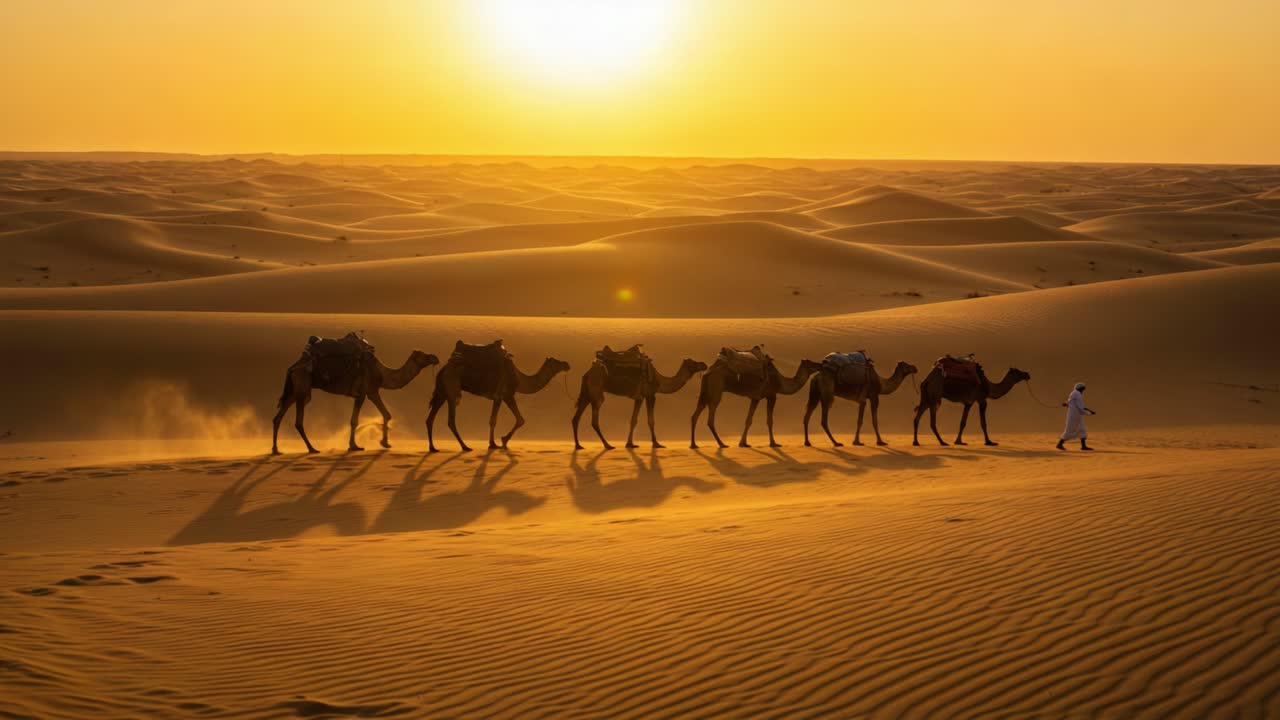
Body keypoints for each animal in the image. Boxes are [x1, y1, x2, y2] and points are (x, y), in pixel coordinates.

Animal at [272, 337, 438, 455]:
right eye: (423, 355)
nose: (435, 357)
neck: (382, 373)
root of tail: (293, 367)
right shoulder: (366, 392)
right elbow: (358, 420)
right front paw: (360, 445)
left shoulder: (367, 393)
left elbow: (382, 415)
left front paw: (377, 443)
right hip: (302, 388)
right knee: (298, 421)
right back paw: (312, 449)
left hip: (293, 391)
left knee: (278, 417)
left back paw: (276, 450)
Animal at [427, 341, 570, 452]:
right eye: (555, 362)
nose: (566, 364)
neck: (519, 379)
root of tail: (443, 370)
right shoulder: (506, 395)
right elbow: (517, 420)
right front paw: (501, 441)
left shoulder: (498, 397)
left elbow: (494, 420)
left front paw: (494, 443)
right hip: (452, 390)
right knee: (451, 420)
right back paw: (465, 447)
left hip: (441, 393)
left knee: (430, 418)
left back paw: (433, 448)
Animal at [572, 350, 707, 450]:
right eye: (693, 363)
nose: (704, 364)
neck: (659, 381)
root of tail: (587, 373)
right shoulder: (650, 395)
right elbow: (651, 420)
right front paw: (656, 443)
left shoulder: (639, 398)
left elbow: (633, 420)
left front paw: (630, 444)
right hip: (596, 392)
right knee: (594, 420)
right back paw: (608, 445)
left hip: (587, 393)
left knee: (576, 418)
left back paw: (579, 445)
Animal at [690, 352, 823, 449]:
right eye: (811, 363)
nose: (821, 364)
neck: (781, 382)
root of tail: (707, 371)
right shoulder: (771, 395)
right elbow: (769, 421)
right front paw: (773, 443)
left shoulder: (755, 398)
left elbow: (748, 420)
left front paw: (743, 443)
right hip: (716, 391)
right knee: (710, 418)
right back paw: (721, 444)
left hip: (705, 392)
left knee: (695, 415)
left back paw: (694, 444)